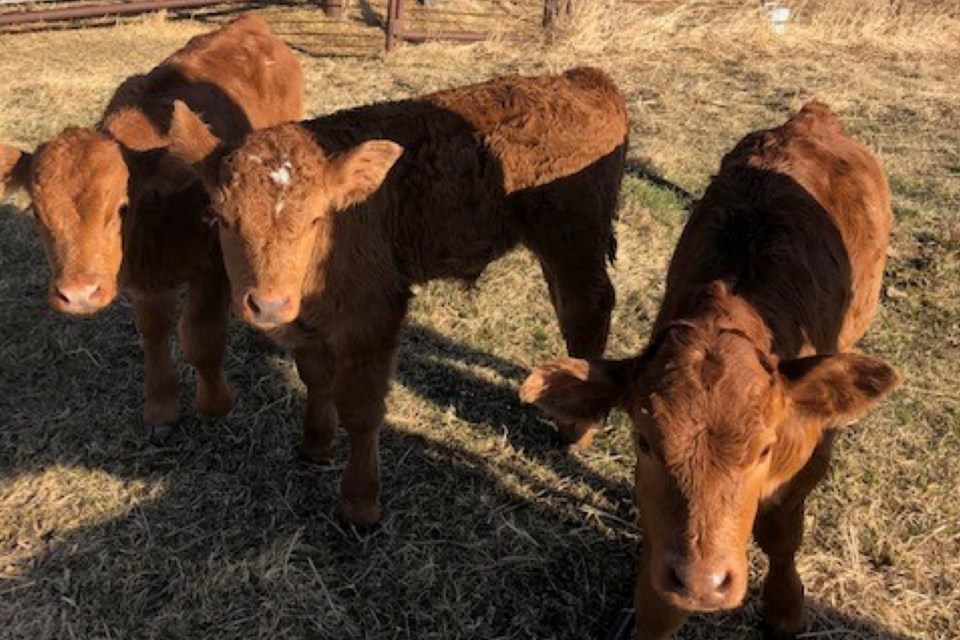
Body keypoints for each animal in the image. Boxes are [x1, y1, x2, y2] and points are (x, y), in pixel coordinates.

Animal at [0, 17, 302, 442]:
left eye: (121, 207)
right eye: (36, 212)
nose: (78, 295)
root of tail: (249, 25)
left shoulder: (210, 265)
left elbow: (200, 337)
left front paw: (215, 405)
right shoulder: (142, 278)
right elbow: (154, 332)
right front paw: (161, 408)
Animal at [167, 66, 632, 524]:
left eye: (317, 218)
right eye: (222, 217)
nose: (267, 304)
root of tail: (580, 78)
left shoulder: (374, 315)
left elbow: (362, 410)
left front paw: (360, 503)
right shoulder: (309, 324)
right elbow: (315, 377)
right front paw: (316, 444)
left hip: (574, 239)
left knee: (588, 309)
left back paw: (577, 428)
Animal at [516, 102, 900, 636]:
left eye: (765, 449)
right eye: (644, 441)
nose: (704, 582)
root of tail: (811, 117)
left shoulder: (808, 451)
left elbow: (780, 533)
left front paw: (785, 609)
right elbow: (657, 604)